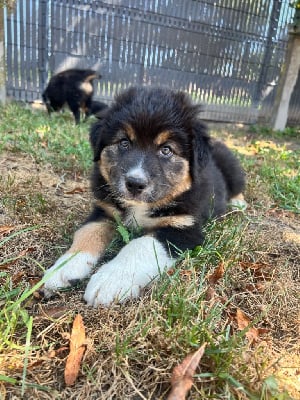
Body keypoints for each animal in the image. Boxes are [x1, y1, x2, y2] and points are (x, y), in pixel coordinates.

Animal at [44, 86, 246, 306]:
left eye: (166, 150)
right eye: (124, 143)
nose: (135, 183)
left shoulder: (184, 228)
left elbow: (140, 246)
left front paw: (110, 280)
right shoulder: (105, 211)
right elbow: (86, 233)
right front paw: (64, 268)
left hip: (232, 170)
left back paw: (238, 203)